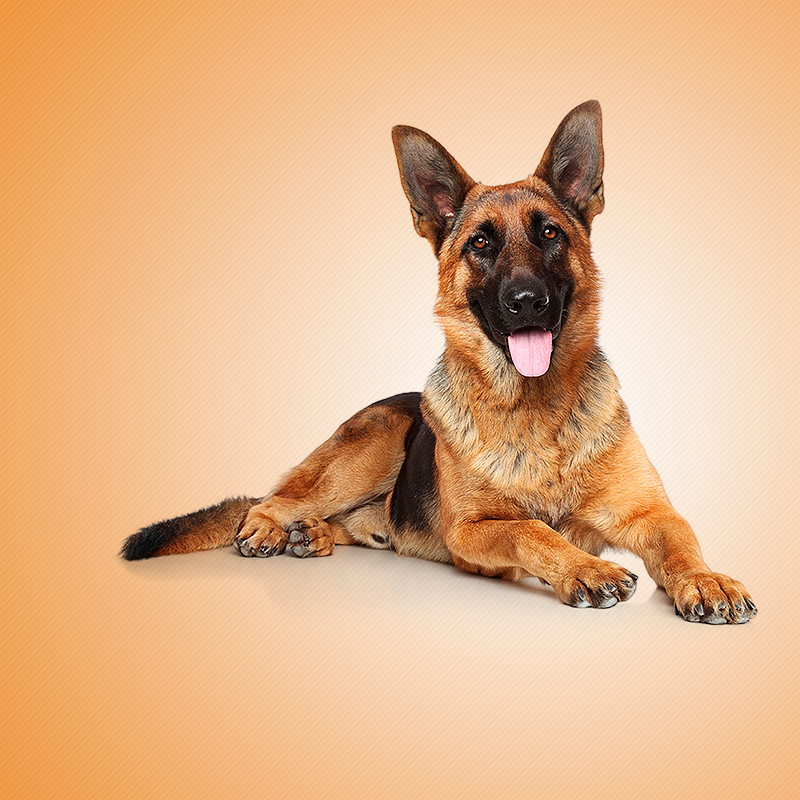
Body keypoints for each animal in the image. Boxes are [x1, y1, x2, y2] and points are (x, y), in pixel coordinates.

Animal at [122, 101, 756, 624]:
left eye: (550, 233)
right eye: (480, 243)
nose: (527, 301)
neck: (535, 412)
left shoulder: (651, 513)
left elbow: (681, 539)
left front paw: (706, 581)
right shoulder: (471, 534)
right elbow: (532, 529)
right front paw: (585, 568)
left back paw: (314, 535)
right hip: (375, 445)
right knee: (272, 499)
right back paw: (269, 529)